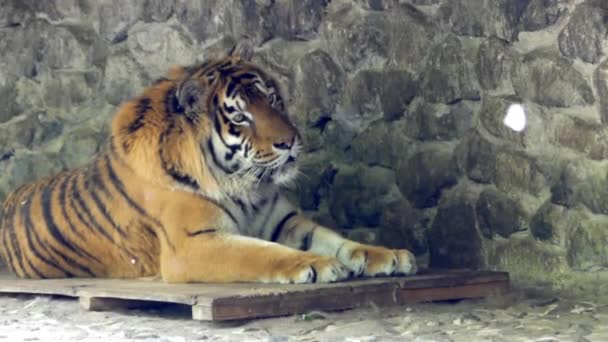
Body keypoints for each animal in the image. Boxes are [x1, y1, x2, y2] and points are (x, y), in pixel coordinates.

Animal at [0, 43, 416, 284]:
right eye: (241, 117)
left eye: (272, 100)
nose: (290, 141)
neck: (244, 185)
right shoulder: (192, 244)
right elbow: (259, 253)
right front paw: (314, 264)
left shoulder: (285, 221)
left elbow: (338, 239)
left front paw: (388, 255)